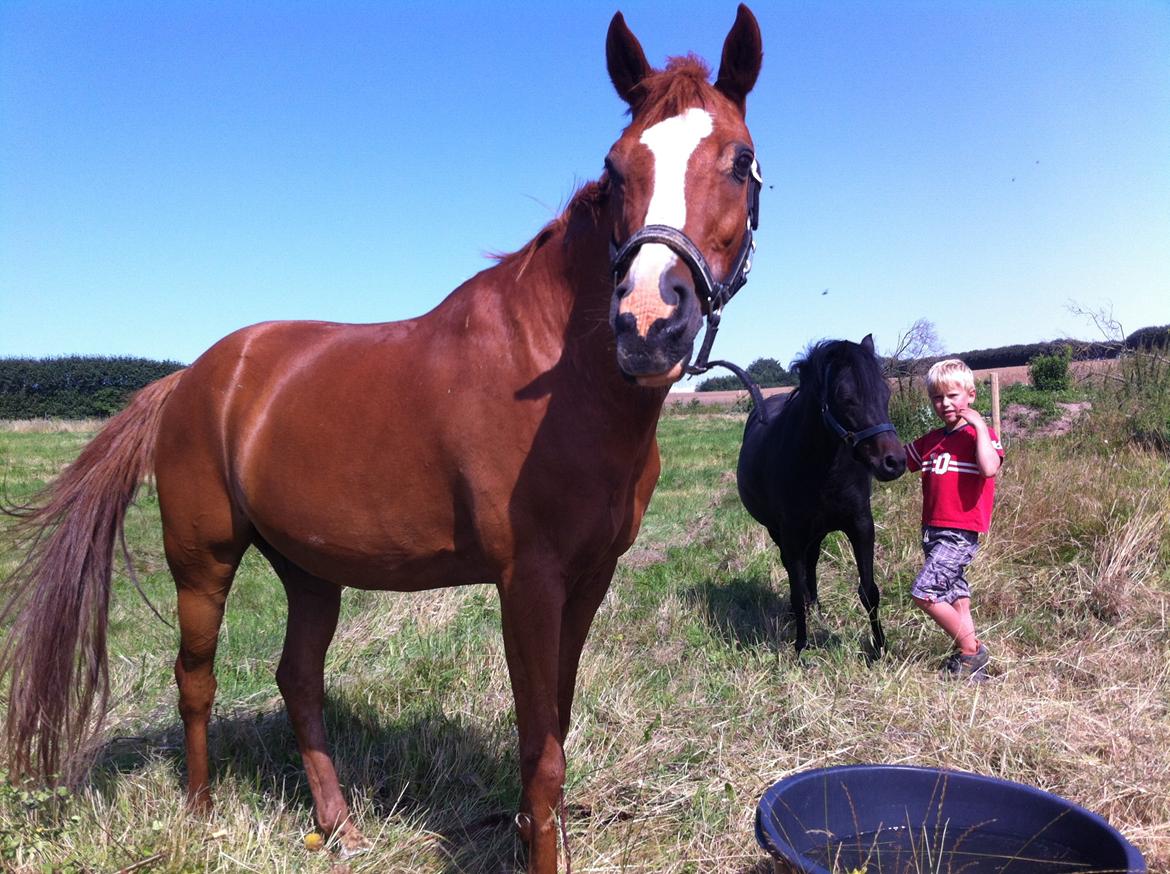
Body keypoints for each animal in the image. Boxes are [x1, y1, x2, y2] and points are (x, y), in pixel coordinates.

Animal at [0, 8, 762, 874]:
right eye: (616, 165)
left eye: (740, 162)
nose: (646, 322)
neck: (562, 377)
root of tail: (193, 378)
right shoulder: (527, 582)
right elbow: (542, 753)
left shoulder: (590, 577)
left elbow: (557, 731)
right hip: (203, 561)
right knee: (195, 676)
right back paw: (199, 813)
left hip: (308, 569)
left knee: (297, 678)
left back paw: (339, 826)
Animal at [739, 336, 903, 655]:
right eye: (846, 397)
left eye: (886, 393)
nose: (894, 462)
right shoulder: (791, 533)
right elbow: (794, 586)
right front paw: (801, 646)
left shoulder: (861, 525)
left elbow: (869, 590)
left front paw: (880, 647)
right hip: (780, 531)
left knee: (811, 561)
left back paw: (815, 606)